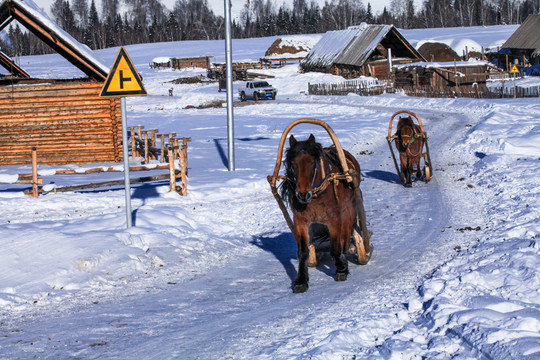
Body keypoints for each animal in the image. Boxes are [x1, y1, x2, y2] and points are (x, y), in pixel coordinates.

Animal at [266, 119, 372, 292]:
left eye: (311, 162)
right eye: (292, 163)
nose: (302, 195)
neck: (317, 193)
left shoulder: (335, 219)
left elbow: (336, 246)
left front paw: (341, 269)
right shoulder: (300, 221)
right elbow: (303, 252)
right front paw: (301, 280)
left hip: (348, 211)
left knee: (346, 236)